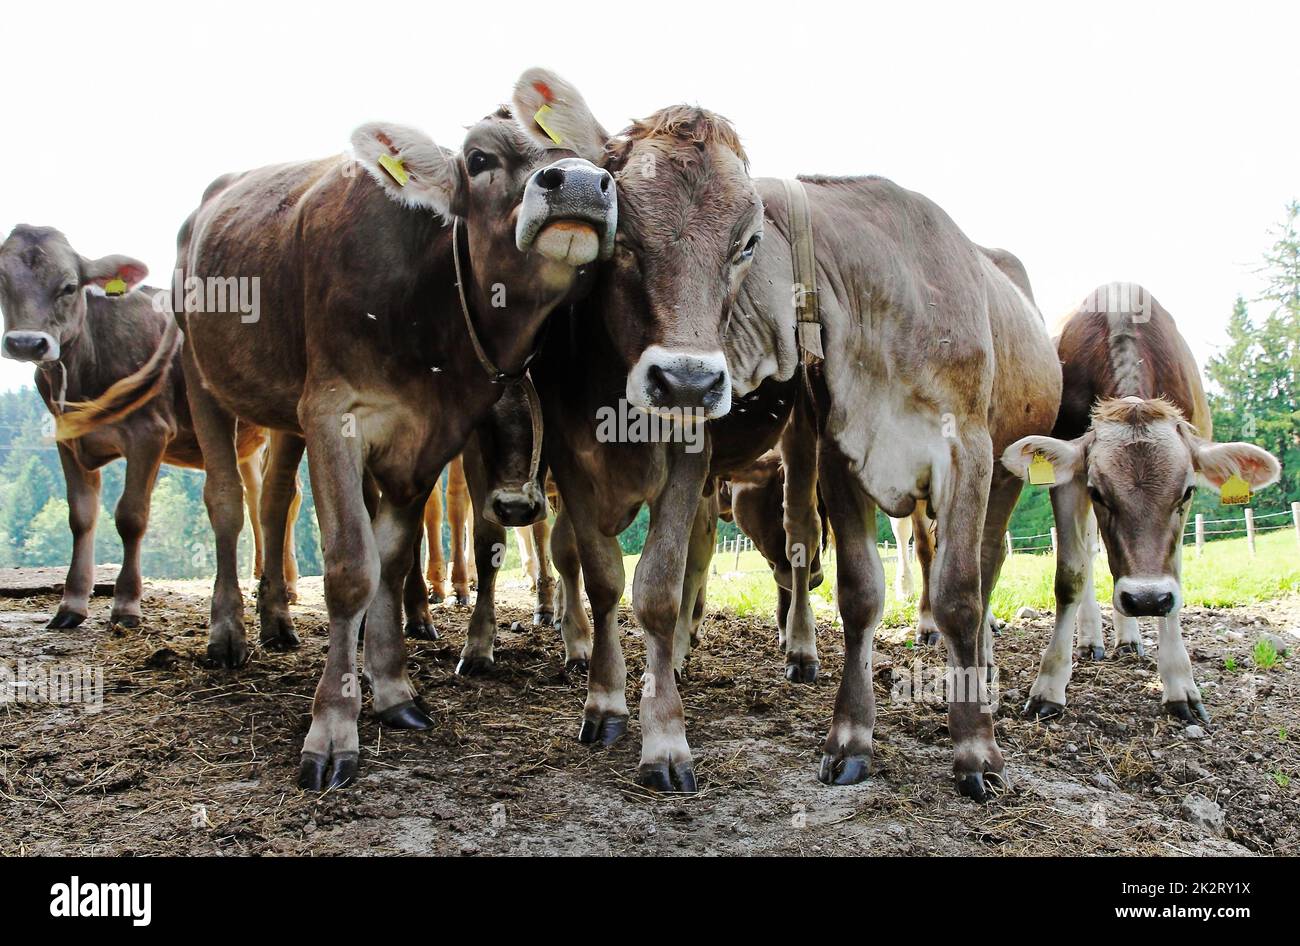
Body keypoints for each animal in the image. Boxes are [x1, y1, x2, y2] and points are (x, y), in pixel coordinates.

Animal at [0, 226, 289, 628]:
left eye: (69, 286)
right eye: (1, 279)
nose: (26, 343)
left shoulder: (149, 433)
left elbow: (131, 516)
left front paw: (125, 604)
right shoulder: (69, 440)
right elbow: (81, 517)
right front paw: (71, 604)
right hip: (246, 442)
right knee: (255, 496)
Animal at [166, 98, 613, 790]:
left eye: (596, 157)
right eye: (479, 158)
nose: (582, 184)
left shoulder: (426, 440)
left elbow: (393, 559)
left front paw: (395, 690)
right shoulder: (332, 414)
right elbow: (353, 568)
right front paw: (332, 729)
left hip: (284, 416)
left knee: (273, 502)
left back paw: (277, 620)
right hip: (202, 373)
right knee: (225, 503)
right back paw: (228, 633)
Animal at [1003, 284, 1279, 722]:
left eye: (1187, 491)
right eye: (1098, 491)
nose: (1146, 599)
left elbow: (1175, 576)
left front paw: (1180, 684)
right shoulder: (1069, 482)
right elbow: (1071, 575)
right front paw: (1049, 684)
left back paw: (1127, 639)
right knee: (1090, 554)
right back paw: (1092, 638)